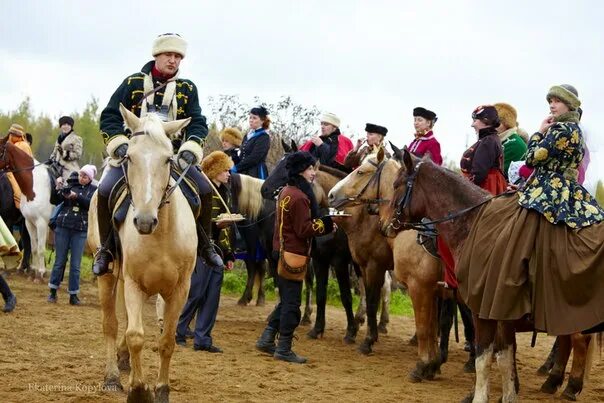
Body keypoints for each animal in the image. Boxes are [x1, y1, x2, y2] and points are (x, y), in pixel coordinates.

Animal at [89, 105, 196, 403]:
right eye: (130, 157)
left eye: (168, 159)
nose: (144, 221)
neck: (160, 236)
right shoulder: (134, 284)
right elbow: (135, 335)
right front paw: (138, 390)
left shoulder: (179, 289)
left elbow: (167, 340)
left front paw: (161, 389)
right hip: (108, 277)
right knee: (111, 324)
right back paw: (113, 376)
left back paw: (123, 360)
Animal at [386, 149, 600, 403]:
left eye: (397, 185)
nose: (384, 224)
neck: (474, 224)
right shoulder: (498, 313)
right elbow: (505, 357)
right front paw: (507, 395)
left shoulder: (471, 307)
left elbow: (481, 356)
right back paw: (554, 381)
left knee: (579, 341)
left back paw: (570, 385)